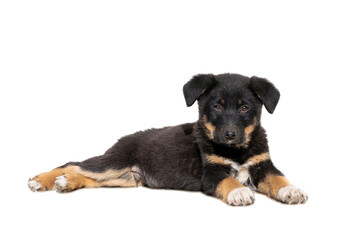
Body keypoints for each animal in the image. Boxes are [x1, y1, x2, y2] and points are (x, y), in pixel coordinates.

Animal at [28, 73, 308, 206]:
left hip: (125, 178)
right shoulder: (211, 172)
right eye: (216, 106)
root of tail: (121, 140)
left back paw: (66, 183)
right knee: (73, 164)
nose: (229, 135)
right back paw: (43, 180)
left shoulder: (263, 164)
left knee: (87, 177)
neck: (236, 150)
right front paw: (239, 192)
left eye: (245, 108)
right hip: (113, 162)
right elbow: (228, 180)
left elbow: (278, 177)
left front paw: (291, 190)